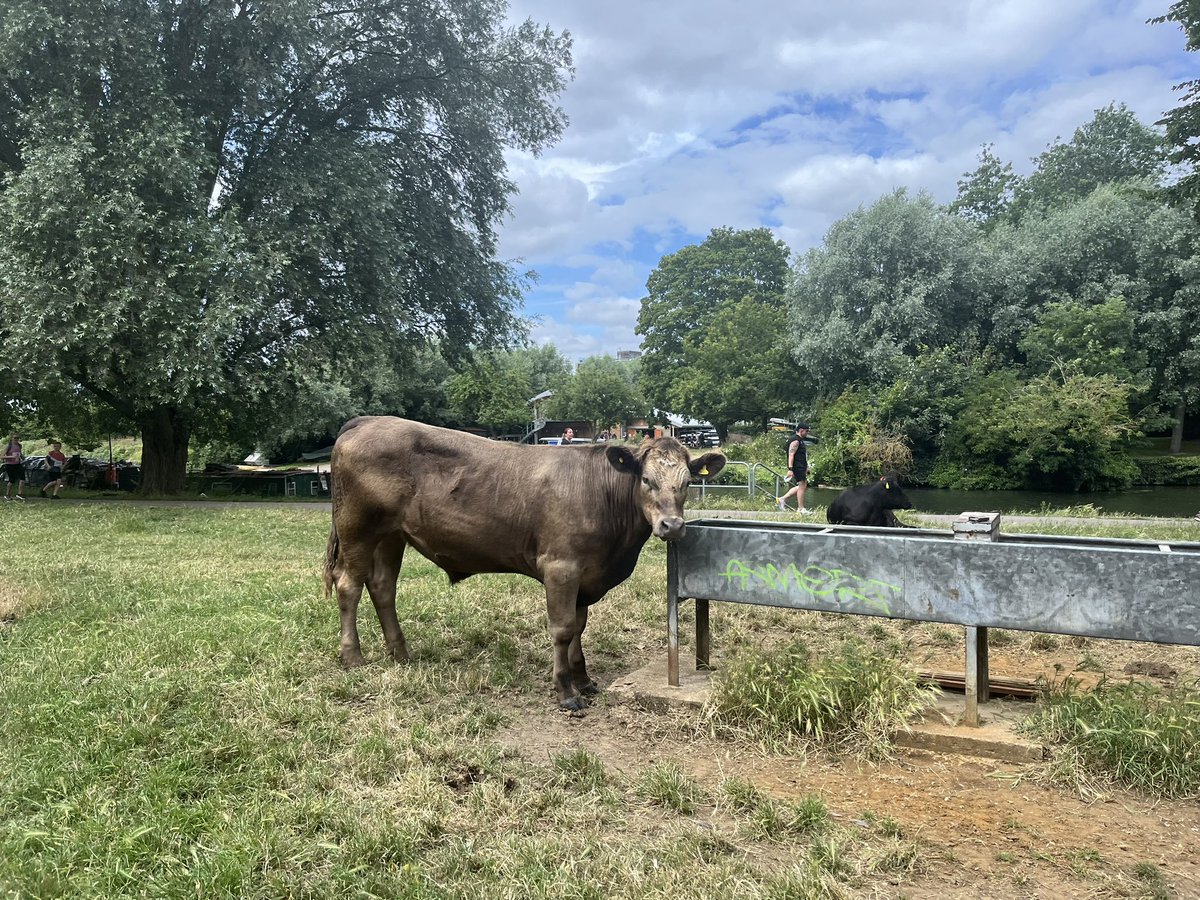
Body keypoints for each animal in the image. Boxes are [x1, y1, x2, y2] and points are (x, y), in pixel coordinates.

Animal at [323, 417, 725, 711]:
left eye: (687, 482)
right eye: (645, 479)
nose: (672, 525)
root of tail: (367, 421)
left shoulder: (585, 575)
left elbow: (579, 626)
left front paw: (583, 679)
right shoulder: (561, 567)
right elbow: (562, 629)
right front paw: (566, 692)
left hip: (391, 535)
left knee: (382, 586)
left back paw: (401, 654)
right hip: (358, 528)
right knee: (349, 586)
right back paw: (353, 657)